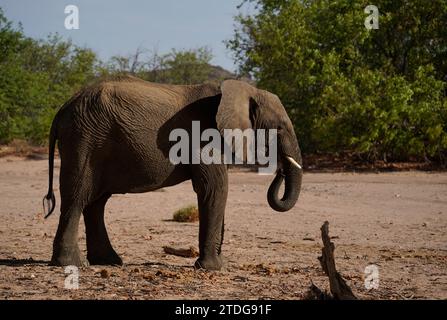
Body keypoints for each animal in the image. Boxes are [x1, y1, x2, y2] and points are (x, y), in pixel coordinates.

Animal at [43, 75, 304, 270]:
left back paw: (109, 262)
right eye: (279, 128)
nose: (280, 170)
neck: (243, 91)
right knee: (77, 198)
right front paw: (212, 268)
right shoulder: (204, 139)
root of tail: (62, 109)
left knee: (96, 202)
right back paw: (73, 264)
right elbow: (215, 189)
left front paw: (220, 263)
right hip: (84, 139)